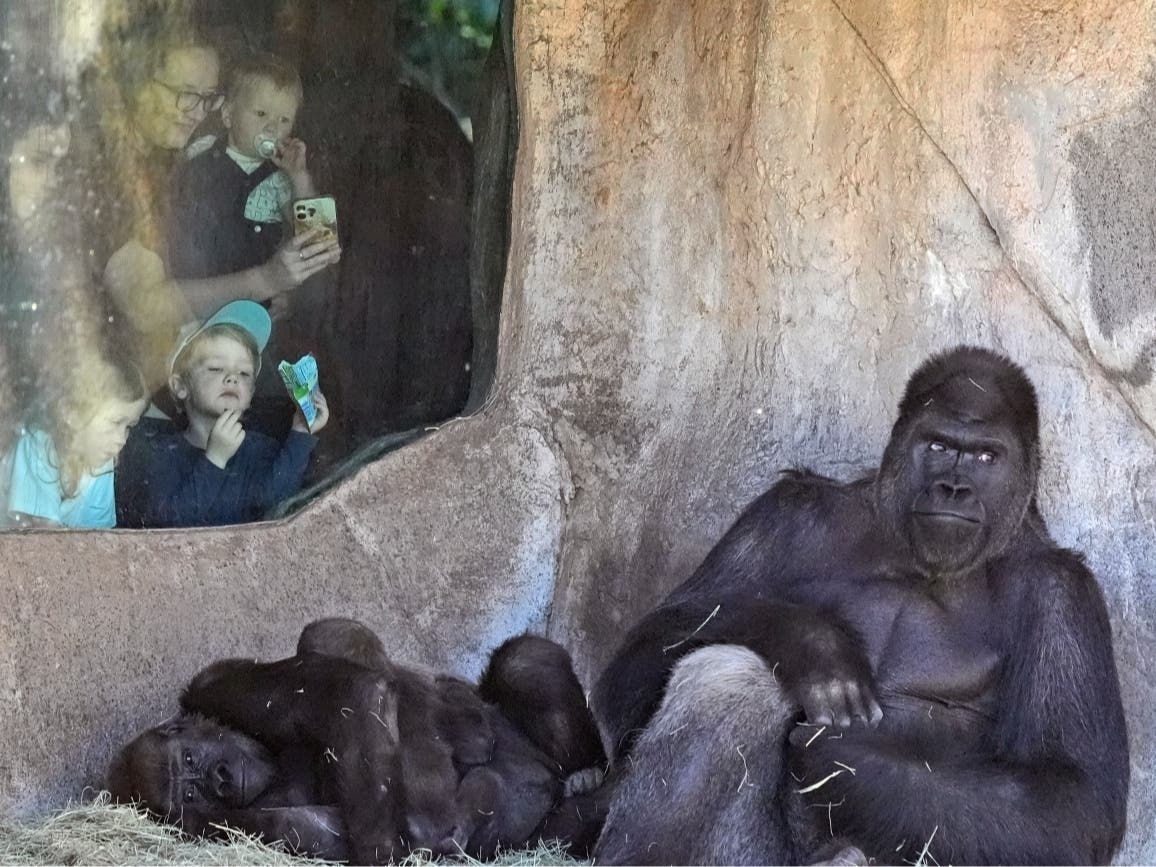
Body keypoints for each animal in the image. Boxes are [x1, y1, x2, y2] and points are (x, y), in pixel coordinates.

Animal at [109, 619, 610, 864]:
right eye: (189, 793)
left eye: (192, 757)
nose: (221, 778)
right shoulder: (220, 826)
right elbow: (314, 832)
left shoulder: (213, 683)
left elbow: (345, 694)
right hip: (547, 830)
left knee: (523, 661)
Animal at [596, 349, 1128, 867]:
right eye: (937, 447)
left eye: (985, 456)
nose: (954, 489)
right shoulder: (791, 510)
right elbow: (637, 667)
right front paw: (815, 646)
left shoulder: (1063, 595)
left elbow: (1072, 799)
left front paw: (840, 759)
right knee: (728, 672)